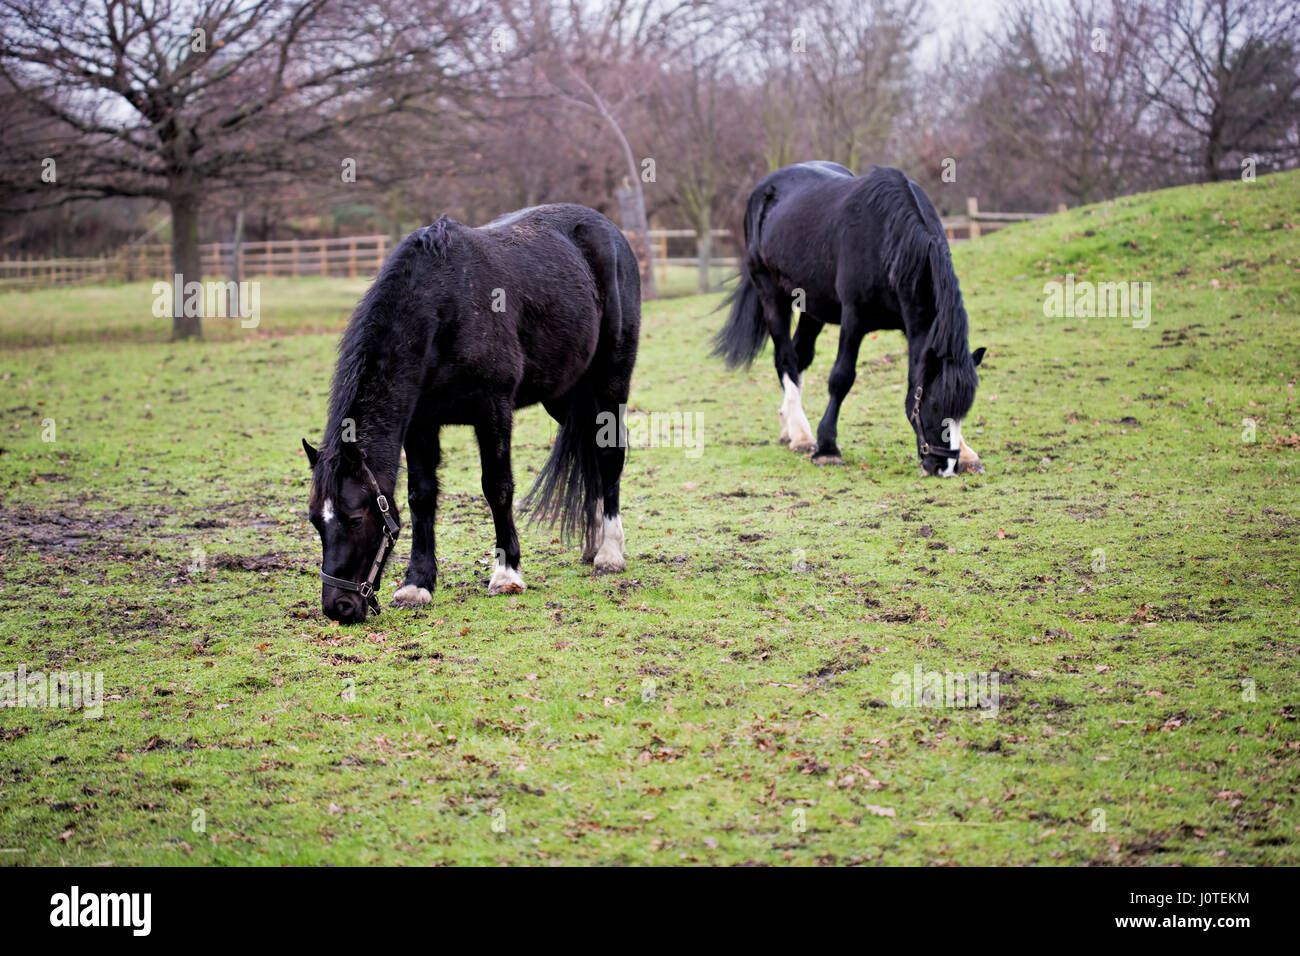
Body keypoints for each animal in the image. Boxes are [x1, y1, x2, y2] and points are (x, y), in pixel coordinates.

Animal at [302, 203, 640, 625]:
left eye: (353, 517)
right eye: (316, 521)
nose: (339, 607)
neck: (446, 304)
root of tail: (609, 230)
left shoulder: (493, 410)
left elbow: (497, 487)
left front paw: (507, 574)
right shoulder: (420, 424)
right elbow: (421, 495)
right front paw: (417, 584)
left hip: (611, 382)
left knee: (609, 455)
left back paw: (609, 553)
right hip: (564, 397)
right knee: (589, 451)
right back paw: (593, 544)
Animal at [712, 161, 986, 476]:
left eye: (962, 409)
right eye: (933, 404)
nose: (944, 466)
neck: (889, 240)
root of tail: (763, 189)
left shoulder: (913, 327)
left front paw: (966, 453)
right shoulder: (854, 319)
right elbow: (841, 378)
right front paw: (827, 448)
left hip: (811, 307)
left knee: (800, 356)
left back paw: (788, 427)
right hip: (771, 297)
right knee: (786, 359)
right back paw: (802, 436)